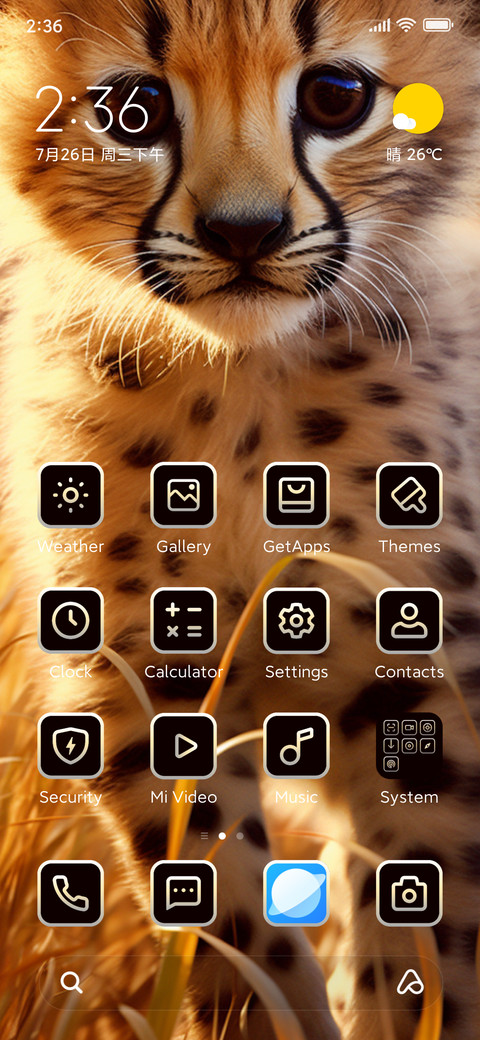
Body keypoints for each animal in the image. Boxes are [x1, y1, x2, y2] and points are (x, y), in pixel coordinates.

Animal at [0, 0, 480, 1038]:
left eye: (335, 97)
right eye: (132, 111)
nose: (244, 233)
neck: (241, 390)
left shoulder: (424, 676)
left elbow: (435, 925)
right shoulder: (142, 681)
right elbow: (225, 919)